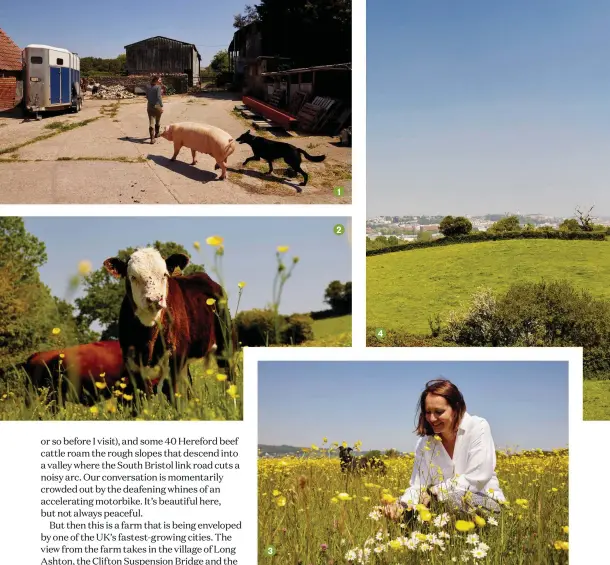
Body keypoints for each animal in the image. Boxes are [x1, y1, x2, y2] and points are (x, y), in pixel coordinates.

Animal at [103, 247, 234, 406]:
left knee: (228, 375)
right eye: (133, 277)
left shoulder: (175, 359)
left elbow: (174, 395)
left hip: (225, 344)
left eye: (164, 275)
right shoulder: (132, 365)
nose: (154, 299)